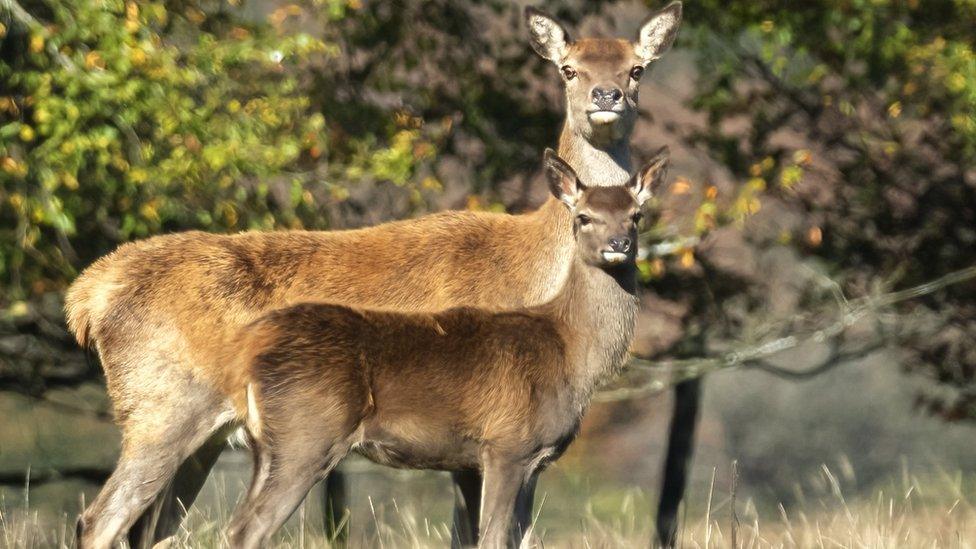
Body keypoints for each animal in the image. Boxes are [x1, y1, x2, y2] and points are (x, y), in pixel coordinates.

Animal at [220, 147, 664, 548]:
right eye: (583, 216)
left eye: (636, 215)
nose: (619, 244)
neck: (569, 352)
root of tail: (249, 353)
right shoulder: (506, 444)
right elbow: (492, 538)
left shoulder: (532, 460)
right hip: (307, 434)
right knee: (248, 529)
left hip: (267, 446)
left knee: (236, 524)